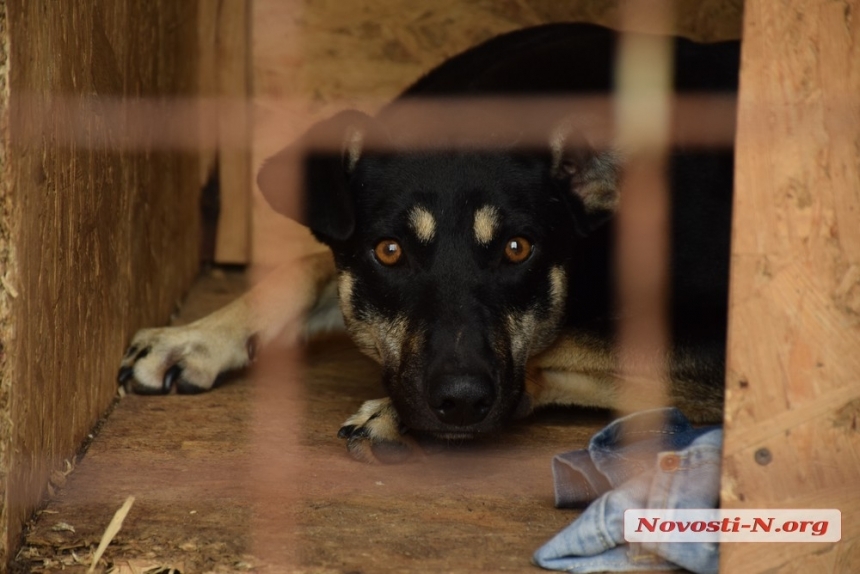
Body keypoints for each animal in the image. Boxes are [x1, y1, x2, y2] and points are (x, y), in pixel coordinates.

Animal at [117, 23, 740, 464]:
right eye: (389, 251)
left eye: (518, 249)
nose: (461, 400)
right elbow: (308, 263)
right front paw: (197, 337)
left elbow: (565, 343)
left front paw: (390, 415)